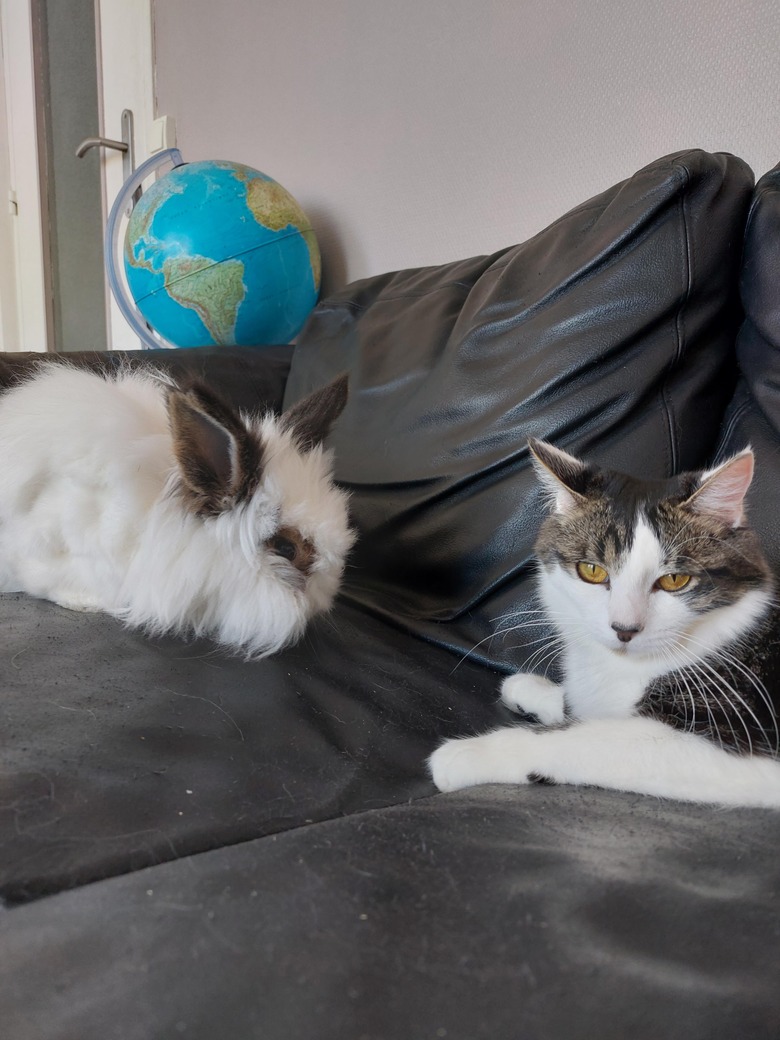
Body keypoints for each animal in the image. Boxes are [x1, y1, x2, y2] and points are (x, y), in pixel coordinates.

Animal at [430, 436, 780, 802]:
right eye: (592, 571)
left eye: (675, 580)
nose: (624, 629)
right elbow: (584, 708)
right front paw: (534, 689)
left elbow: (588, 737)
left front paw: (468, 754)